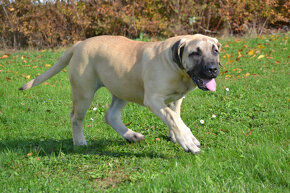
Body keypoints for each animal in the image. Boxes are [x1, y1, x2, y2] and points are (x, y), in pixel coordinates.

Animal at [19, 33, 220, 154]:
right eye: (195, 53)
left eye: (215, 51)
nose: (213, 69)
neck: (178, 68)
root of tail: (79, 44)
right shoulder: (154, 99)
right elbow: (173, 118)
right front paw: (188, 140)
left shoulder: (176, 99)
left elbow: (175, 116)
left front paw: (176, 137)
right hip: (84, 92)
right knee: (75, 117)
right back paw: (80, 142)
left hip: (122, 88)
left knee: (111, 116)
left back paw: (131, 135)